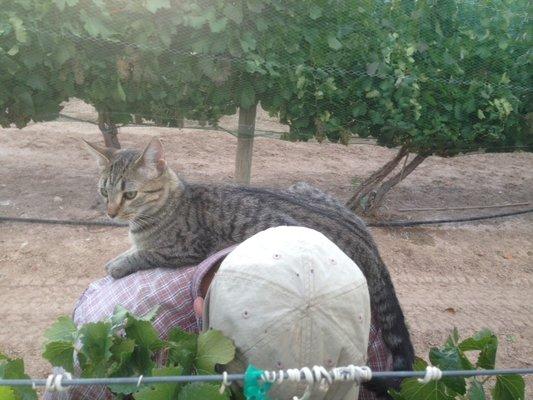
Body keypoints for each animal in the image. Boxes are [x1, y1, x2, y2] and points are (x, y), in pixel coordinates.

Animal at [84, 138, 416, 376]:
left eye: (130, 194)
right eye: (103, 192)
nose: (110, 212)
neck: (172, 201)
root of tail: (368, 244)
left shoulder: (184, 249)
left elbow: (143, 254)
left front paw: (118, 264)